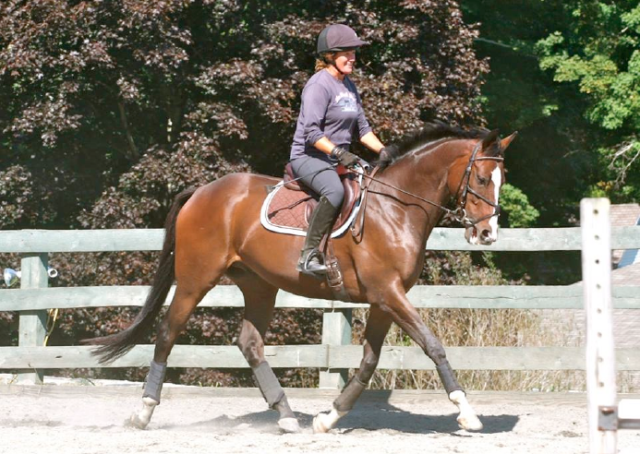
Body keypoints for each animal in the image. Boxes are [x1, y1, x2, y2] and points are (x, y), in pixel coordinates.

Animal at [85, 122, 516, 434]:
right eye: (481, 179)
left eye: (502, 179)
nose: (487, 234)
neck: (397, 206)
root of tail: (202, 191)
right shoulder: (389, 294)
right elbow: (433, 346)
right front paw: (467, 412)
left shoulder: (384, 300)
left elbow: (369, 361)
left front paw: (330, 417)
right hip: (195, 280)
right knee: (167, 333)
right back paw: (143, 412)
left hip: (259, 284)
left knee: (249, 343)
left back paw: (287, 415)